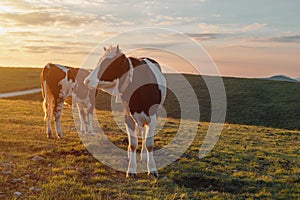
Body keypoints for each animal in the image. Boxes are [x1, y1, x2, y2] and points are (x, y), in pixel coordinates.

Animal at [84, 45, 166, 178]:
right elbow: (132, 144)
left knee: (143, 134)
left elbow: (149, 144)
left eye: (108, 63)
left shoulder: (153, 117)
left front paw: (152, 169)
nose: (86, 81)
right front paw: (131, 169)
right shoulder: (128, 117)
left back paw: (143, 155)